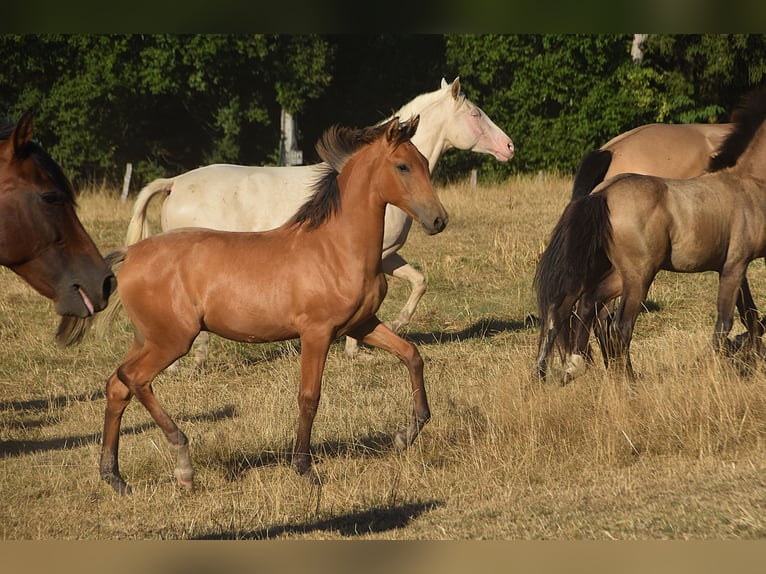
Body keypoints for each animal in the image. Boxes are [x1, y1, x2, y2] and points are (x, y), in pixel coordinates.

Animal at [59, 116, 448, 495]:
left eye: (423, 161)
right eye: (402, 166)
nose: (438, 220)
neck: (335, 248)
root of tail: (131, 254)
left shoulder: (362, 324)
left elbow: (412, 356)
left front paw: (405, 436)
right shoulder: (317, 333)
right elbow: (309, 397)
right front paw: (304, 469)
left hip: (148, 338)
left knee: (117, 386)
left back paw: (114, 477)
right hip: (172, 340)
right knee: (134, 379)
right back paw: (183, 463)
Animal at [124, 77, 513, 366]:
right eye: (476, 114)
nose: (509, 147)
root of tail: (175, 182)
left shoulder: (386, 256)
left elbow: (419, 281)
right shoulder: (380, 255)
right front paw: (362, 344)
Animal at [534, 86, 766, 382]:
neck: (745, 181)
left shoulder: (731, 264)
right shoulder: (735, 262)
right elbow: (732, 316)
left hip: (618, 271)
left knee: (573, 307)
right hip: (638, 274)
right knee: (613, 322)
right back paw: (623, 377)